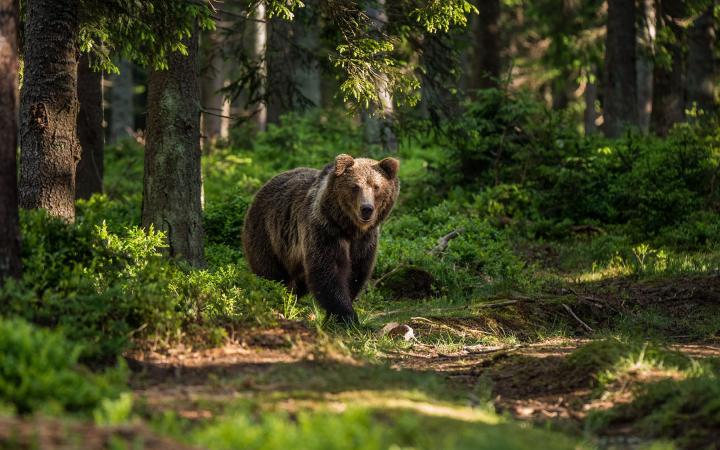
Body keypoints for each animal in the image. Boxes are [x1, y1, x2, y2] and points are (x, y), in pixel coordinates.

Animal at [242, 155, 400, 324]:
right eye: (355, 186)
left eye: (376, 187)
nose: (366, 209)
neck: (349, 228)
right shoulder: (325, 230)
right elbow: (329, 271)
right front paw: (346, 316)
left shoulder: (364, 242)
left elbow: (356, 272)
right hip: (269, 234)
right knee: (271, 273)